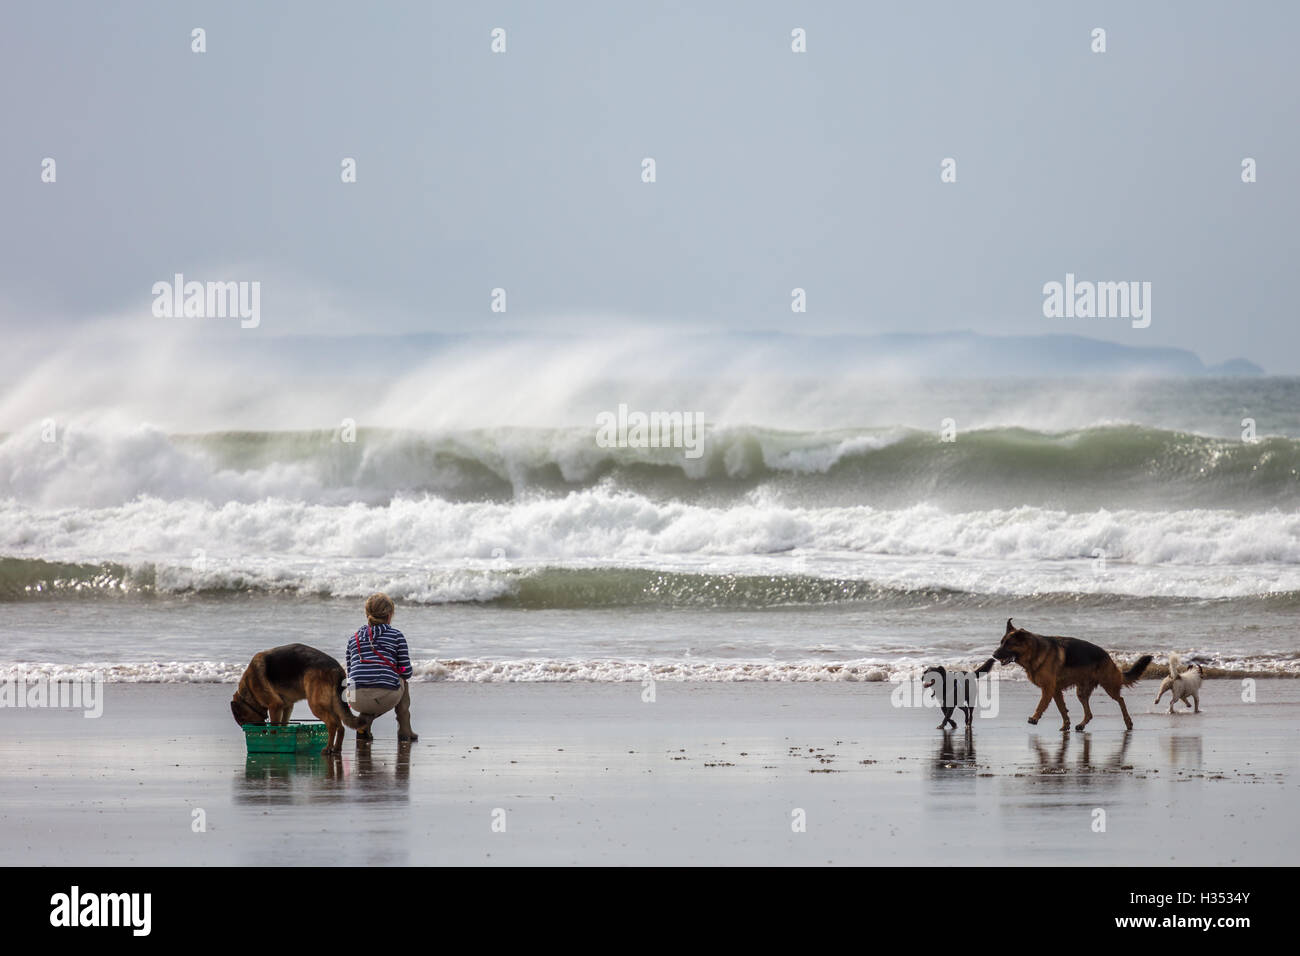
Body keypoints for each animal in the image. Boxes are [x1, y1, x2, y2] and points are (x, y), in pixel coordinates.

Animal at [228, 642, 369, 754]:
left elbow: (274, 727)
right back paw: (336, 748)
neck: (248, 694)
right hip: (332, 704)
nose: (259, 732)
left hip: (316, 705)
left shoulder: (275, 706)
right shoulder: (287, 707)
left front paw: (272, 741)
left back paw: (328, 747)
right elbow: (283, 725)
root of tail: (336, 669)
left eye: (242, 720)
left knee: (332, 724)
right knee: (341, 727)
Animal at [987, 621, 1154, 733]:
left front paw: (1035, 718)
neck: (1034, 651)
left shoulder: (1048, 689)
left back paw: (1128, 722)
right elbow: (1062, 709)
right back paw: (1081, 724)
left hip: (1109, 685)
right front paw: (1065, 725)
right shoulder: (1055, 691)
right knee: (1089, 713)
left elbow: (1041, 704)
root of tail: (1108, 656)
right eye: (1001, 643)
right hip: (1082, 692)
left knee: (1121, 700)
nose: (993, 655)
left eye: (1008, 644)